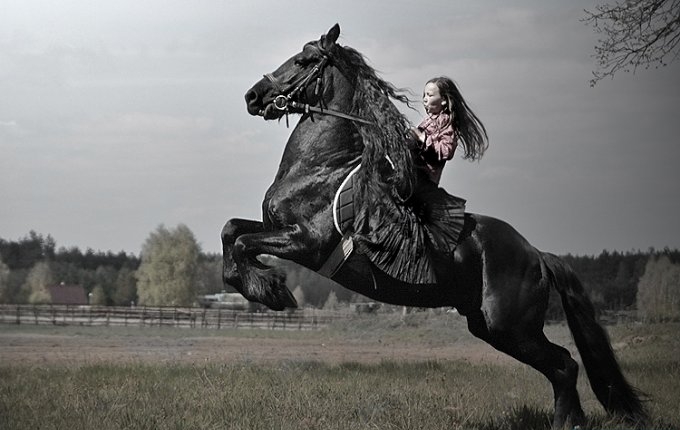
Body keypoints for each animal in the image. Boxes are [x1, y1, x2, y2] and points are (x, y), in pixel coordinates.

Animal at [222, 24, 644, 430]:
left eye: (303, 60)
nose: (252, 97)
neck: (322, 167)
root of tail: (538, 255)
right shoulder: (276, 226)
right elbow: (231, 231)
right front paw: (259, 283)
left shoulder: (306, 243)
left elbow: (243, 244)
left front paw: (271, 290)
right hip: (489, 326)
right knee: (562, 366)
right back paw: (573, 420)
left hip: (510, 326)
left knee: (564, 365)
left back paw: (566, 422)